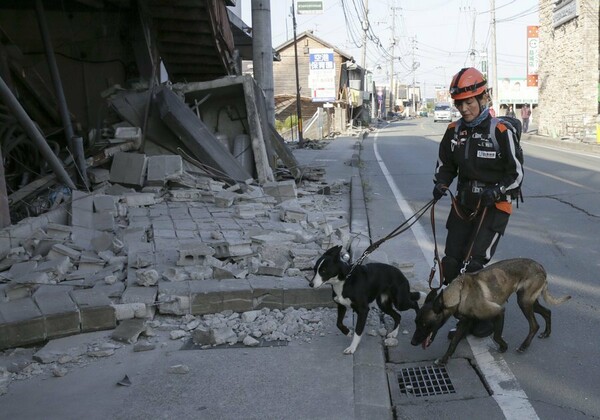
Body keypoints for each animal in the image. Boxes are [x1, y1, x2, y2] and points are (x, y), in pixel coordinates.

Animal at [410, 258, 568, 362]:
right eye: (415, 323)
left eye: (425, 325)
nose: (412, 342)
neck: (459, 294)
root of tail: (540, 267)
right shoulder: (465, 322)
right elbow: (453, 342)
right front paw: (444, 359)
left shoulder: (499, 312)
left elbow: (497, 335)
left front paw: (503, 347)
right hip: (529, 302)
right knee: (547, 312)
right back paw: (547, 333)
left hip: (524, 302)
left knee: (534, 325)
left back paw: (524, 346)